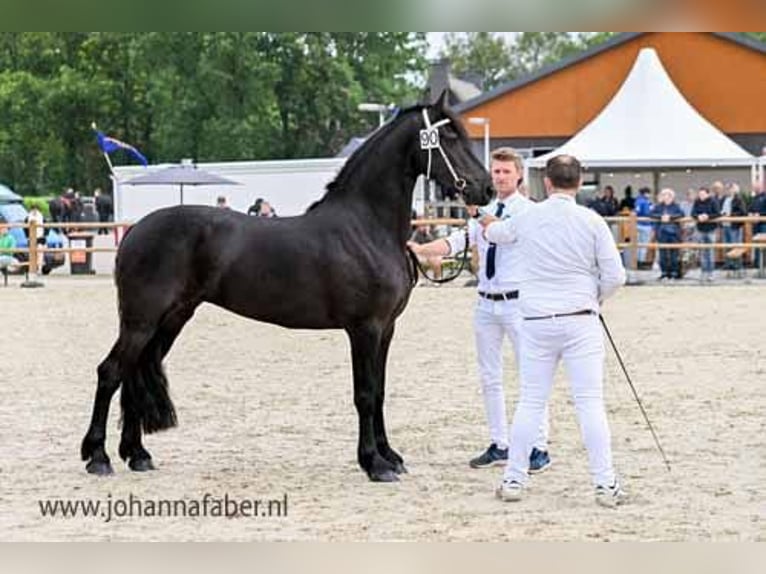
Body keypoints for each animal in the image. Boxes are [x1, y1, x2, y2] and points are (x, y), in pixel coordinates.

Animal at [81, 97, 496, 484]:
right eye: (449, 136)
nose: (487, 188)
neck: (366, 227)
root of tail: (135, 231)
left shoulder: (387, 329)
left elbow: (379, 391)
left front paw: (390, 456)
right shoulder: (364, 328)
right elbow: (364, 393)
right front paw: (374, 464)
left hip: (171, 319)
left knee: (132, 374)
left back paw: (137, 454)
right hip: (142, 321)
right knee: (110, 372)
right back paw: (98, 457)